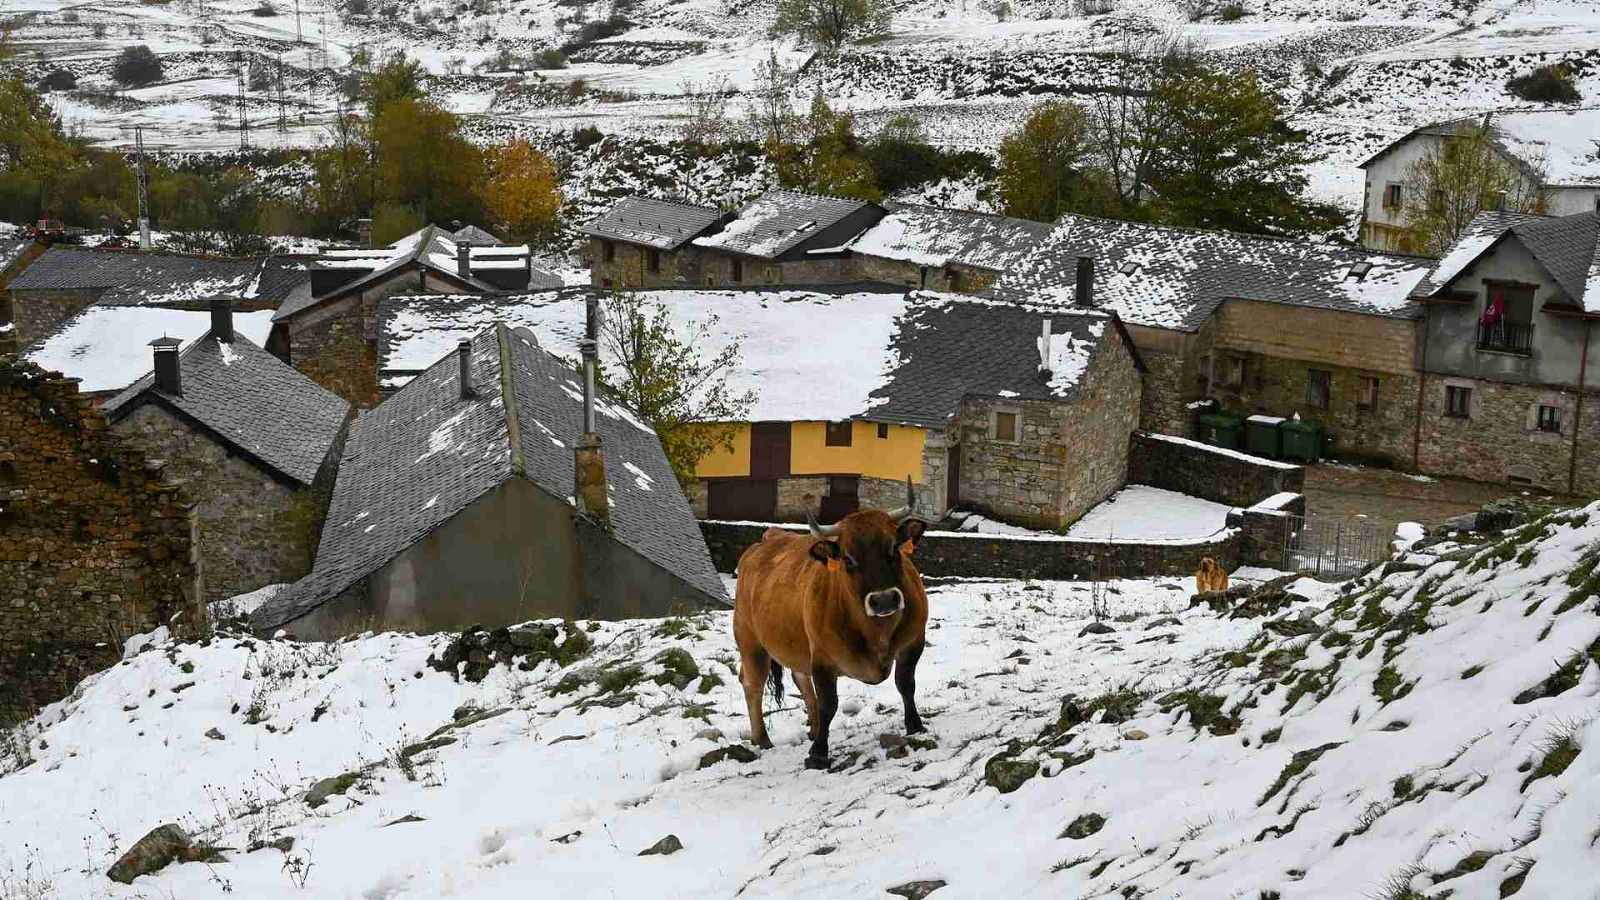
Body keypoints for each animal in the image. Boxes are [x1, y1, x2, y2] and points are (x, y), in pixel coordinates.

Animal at [732, 480, 934, 768]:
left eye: (894, 548)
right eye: (848, 559)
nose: (884, 600)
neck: (877, 632)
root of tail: (768, 539)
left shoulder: (914, 641)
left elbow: (906, 683)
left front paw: (915, 725)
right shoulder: (823, 659)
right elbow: (829, 704)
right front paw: (818, 753)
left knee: (800, 679)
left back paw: (814, 728)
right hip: (750, 641)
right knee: (753, 684)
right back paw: (762, 738)